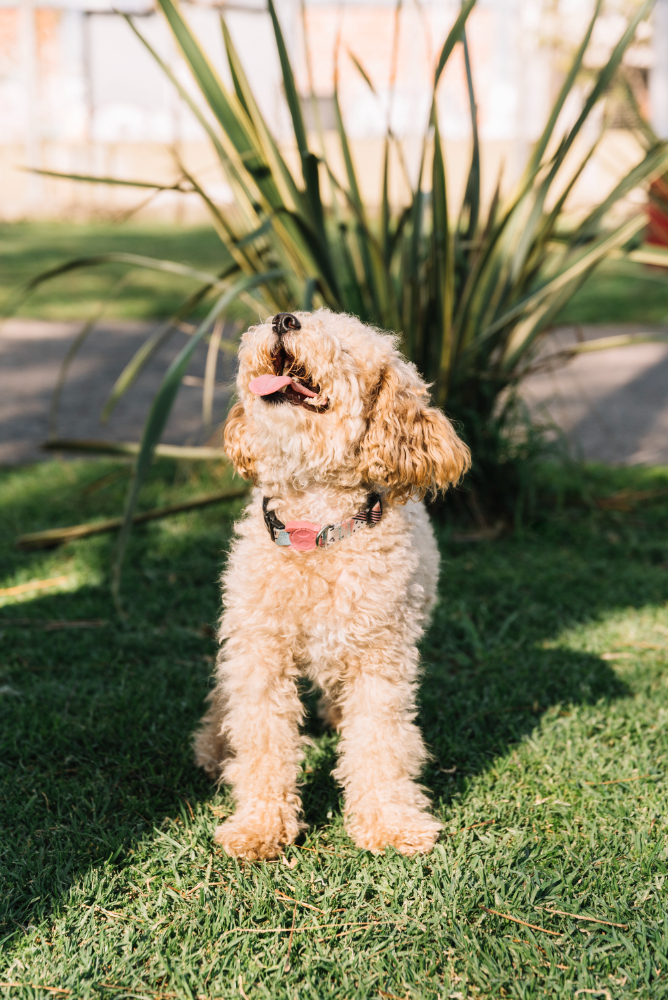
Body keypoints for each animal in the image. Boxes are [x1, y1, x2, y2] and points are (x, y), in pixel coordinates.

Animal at [194, 310, 470, 860]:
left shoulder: (380, 658)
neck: (313, 533)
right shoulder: (260, 651)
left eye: (347, 349)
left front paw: (390, 823)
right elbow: (261, 740)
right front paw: (259, 826)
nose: (283, 319)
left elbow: (381, 741)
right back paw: (213, 746)